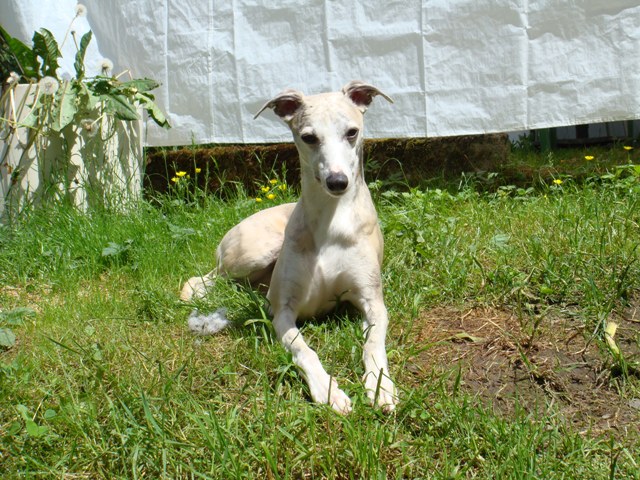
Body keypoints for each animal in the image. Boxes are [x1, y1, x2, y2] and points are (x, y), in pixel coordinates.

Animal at [181, 81, 397, 414]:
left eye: (352, 132)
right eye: (309, 137)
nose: (337, 182)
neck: (332, 222)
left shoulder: (372, 301)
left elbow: (374, 343)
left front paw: (380, 386)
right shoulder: (282, 310)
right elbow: (303, 349)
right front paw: (329, 390)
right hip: (254, 252)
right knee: (200, 280)